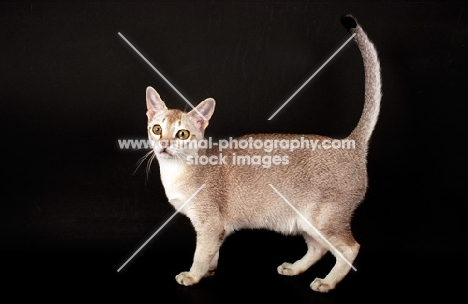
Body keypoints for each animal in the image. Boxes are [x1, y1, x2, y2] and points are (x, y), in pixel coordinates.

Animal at [143, 15, 380, 294]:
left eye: (182, 134)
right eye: (157, 129)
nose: (165, 144)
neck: (177, 171)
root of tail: (350, 144)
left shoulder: (209, 222)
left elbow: (201, 253)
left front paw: (193, 275)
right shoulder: (216, 227)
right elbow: (213, 252)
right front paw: (210, 270)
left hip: (325, 218)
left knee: (350, 248)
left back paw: (327, 282)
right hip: (306, 221)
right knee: (318, 248)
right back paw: (295, 268)